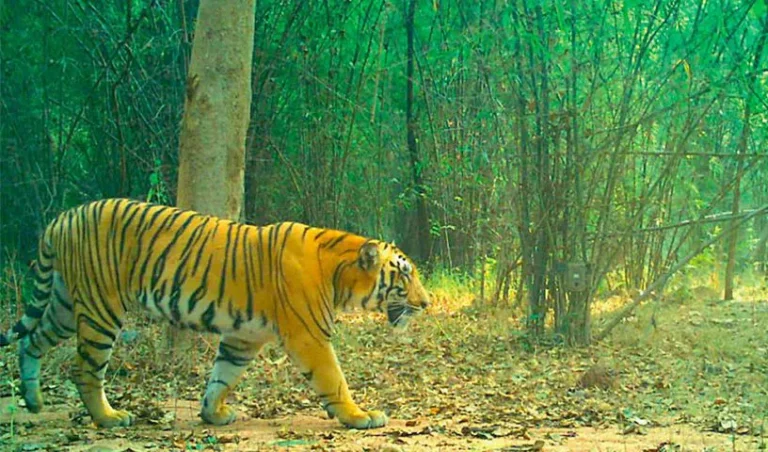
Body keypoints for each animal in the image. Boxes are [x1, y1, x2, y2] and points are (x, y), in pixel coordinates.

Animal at [0, 198, 429, 429]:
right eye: (405, 275)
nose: (426, 304)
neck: (339, 274)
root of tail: (64, 216)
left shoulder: (243, 337)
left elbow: (222, 376)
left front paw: (213, 414)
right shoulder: (309, 336)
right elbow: (334, 380)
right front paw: (359, 416)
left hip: (65, 305)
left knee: (32, 341)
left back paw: (33, 400)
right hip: (101, 308)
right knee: (85, 369)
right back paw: (109, 418)